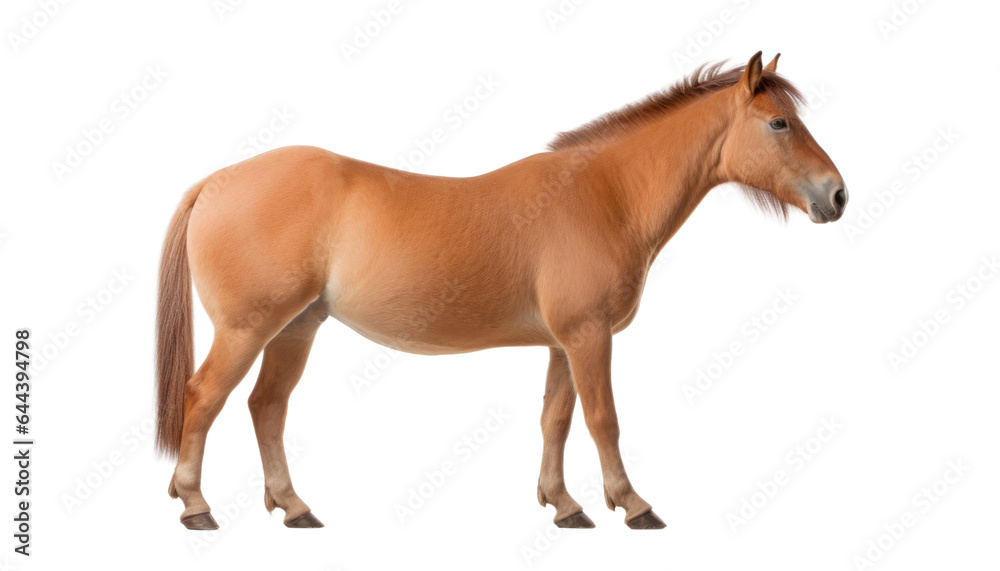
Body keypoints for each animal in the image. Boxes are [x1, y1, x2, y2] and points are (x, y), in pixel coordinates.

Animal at [155, 51, 847, 530]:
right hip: (248, 329)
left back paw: (294, 508)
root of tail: (217, 181)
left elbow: (556, 419)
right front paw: (632, 504)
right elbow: (603, 419)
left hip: (296, 328)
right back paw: (195, 506)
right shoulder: (589, 337)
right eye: (780, 123)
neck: (605, 195)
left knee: (266, 406)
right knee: (205, 398)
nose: (837, 195)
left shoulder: (564, 344)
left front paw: (564, 506)